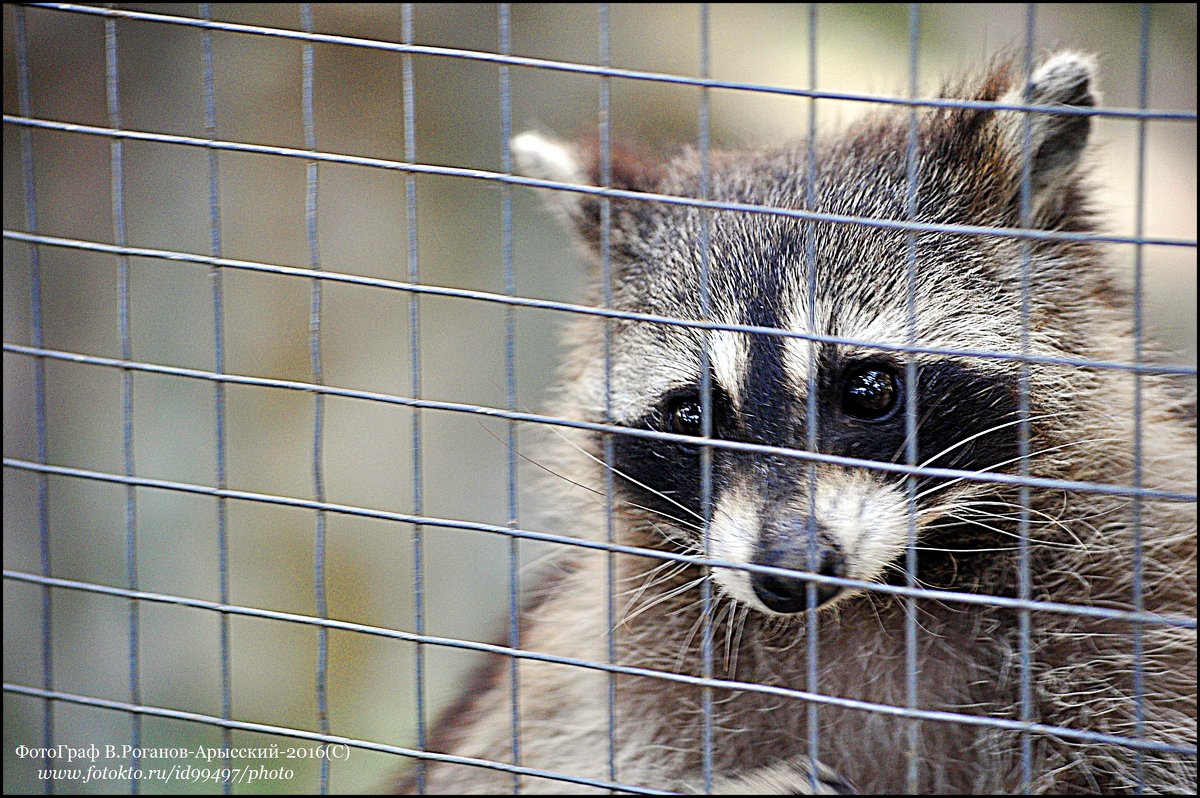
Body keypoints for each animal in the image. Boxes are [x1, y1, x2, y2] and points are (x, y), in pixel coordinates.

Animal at [408, 52, 1195, 792]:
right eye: (692, 414)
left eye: (869, 390)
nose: (787, 574)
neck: (880, 596)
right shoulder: (587, 686)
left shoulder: (1137, 611)